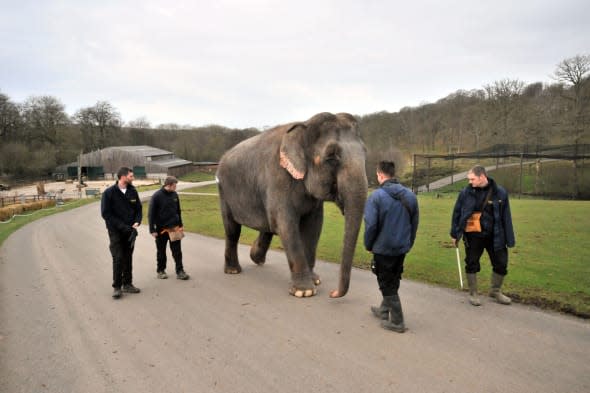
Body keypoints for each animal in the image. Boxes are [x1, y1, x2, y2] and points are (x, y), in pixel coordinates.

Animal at [215, 112, 368, 298]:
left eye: (365, 153)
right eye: (331, 156)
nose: (333, 293)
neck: (304, 125)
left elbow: (314, 227)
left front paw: (315, 280)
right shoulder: (277, 178)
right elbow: (286, 225)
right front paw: (305, 291)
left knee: (267, 225)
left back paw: (255, 257)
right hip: (224, 192)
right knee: (232, 230)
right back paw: (233, 270)